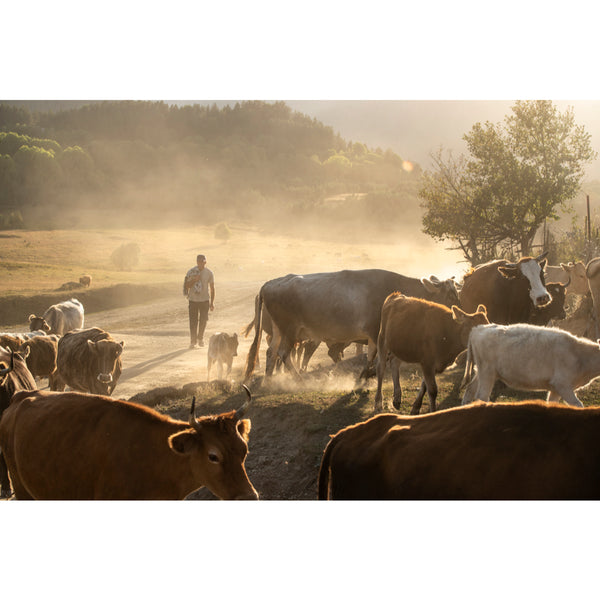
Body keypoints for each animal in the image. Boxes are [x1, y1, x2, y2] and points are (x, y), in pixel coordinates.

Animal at [244, 270, 460, 382]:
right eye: (450, 295)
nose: (459, 313)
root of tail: (270, 283)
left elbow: (374, 355)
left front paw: (366, 373)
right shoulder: (376, 330)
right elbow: (376, 355)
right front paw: (366, 374)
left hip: (278, 330)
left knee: (271, 352)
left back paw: (269, 380)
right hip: (290, 330)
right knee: (283, 353)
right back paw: (299, 379)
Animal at [460, 324, 600, 408]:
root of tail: (478, 328)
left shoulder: (555, 388)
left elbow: (552, 403)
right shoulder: (562, 384)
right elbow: (578, 405)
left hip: (482, 371)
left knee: (470, 389)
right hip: (487, 372)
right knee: (481, 396)